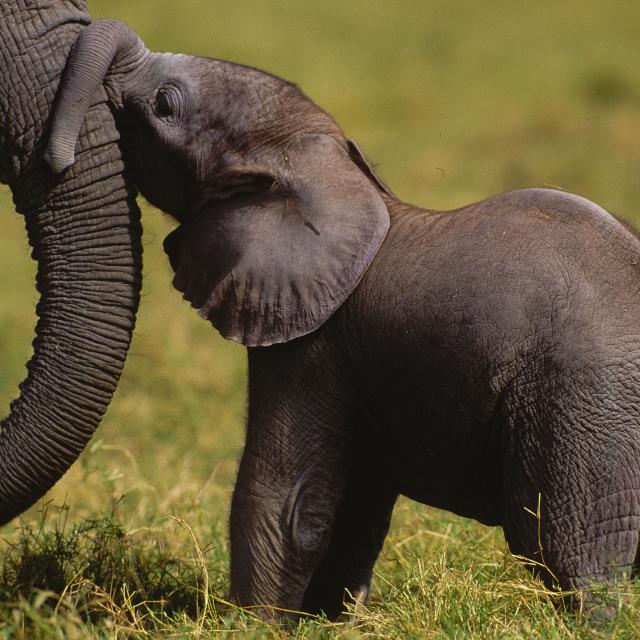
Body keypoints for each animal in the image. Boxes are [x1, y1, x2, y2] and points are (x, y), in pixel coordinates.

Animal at [45, 19, 640, 618]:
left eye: (165, 105)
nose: (56, 157)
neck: (330, 168)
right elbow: (357, 502)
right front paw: (330, 619)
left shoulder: (314, 344)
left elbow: (284, 497)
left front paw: (258, 624)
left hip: (581, 406)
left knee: (569, 552)